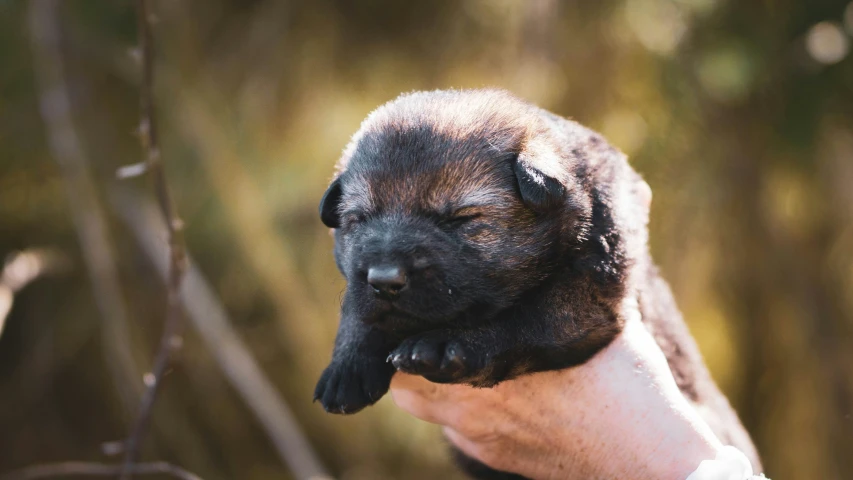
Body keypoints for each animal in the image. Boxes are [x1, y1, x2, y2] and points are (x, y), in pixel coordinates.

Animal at [314, 89, 760, 476]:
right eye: (358, 220)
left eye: (461, 219)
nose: (385, 279)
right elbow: (356, 307)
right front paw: (347, 365)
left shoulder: (590, 292)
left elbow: (525, 318)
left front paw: (447, 344)